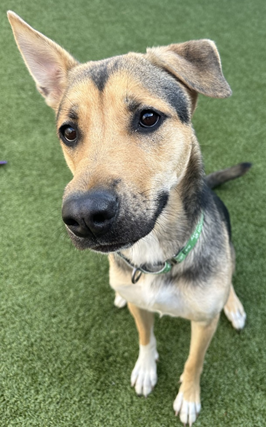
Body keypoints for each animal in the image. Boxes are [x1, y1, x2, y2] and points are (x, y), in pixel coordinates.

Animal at [7, 11, 250, 426]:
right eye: (68, 132)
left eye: (148, 117)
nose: (84, 216)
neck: (154, 257)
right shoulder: (141, 303)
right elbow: (144, 335)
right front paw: (145, 368)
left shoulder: (203, 324)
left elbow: (194, 362)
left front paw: (188, 396)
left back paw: (231, 304)